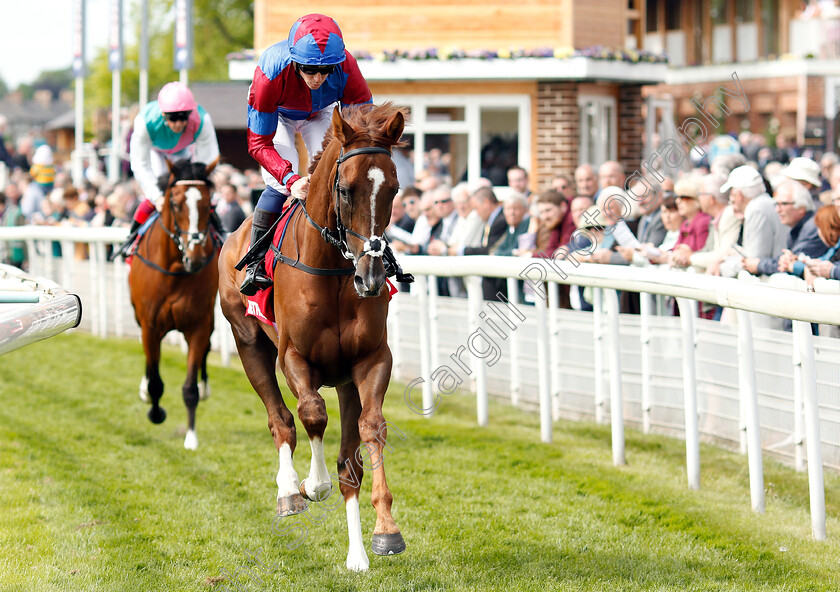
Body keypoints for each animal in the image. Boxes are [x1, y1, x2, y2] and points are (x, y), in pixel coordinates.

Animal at [128, 157, 220, 448]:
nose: (196, 256)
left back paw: (205, 387)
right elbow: (155, 381)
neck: (177, 270)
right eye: (176, 204)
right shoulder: (150, 325)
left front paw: (191, 437)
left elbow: (190, 387)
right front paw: (156, 412)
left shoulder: (198, 325)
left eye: (208, 202)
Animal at [218, 104, 406, 572]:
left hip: (344, 378)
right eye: (345, 189)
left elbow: (370, 431)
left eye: (393, 189)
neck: (336, 271)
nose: (371, 278)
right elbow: (311, 413)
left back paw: (357, 551)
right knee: (280, 420)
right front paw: (313, 483)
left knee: (347, 459)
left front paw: (385, 531)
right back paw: (288, 491)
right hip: (247, 341)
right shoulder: (294, 357)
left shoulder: (371, 359)